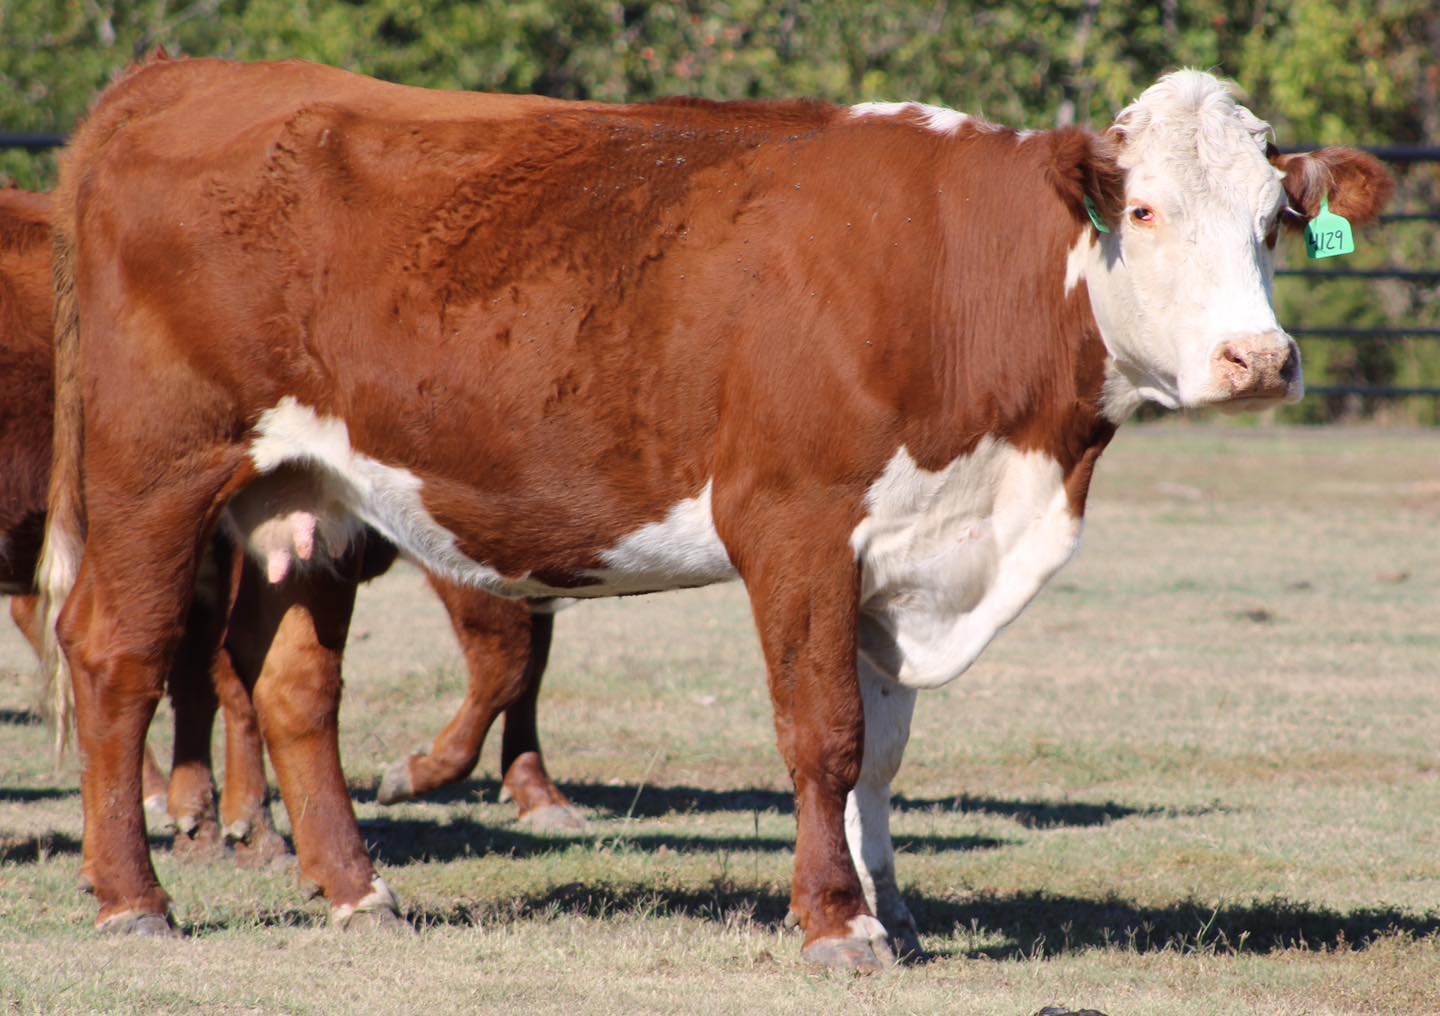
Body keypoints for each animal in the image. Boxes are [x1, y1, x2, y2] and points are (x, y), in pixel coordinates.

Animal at [45, 61, 1388, 967]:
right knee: (118, 654)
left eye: (1275, 221)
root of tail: (181, 78)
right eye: (1146, 210)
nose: (1260, 360)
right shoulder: (795, 524)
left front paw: (895, 904)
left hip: (311, 495)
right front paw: (837, 921)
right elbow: (823, 733)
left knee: (291, 685)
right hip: (159, 470)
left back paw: (359, 891)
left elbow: (883, 748)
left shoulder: (904, 548)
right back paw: (135, 901)